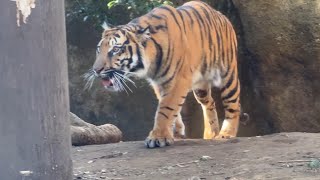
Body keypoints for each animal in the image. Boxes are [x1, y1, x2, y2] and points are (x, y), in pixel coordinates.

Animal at [85, 0, 242, 148]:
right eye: (99, 49)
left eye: (116, 49)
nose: (96, 70)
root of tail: (220, 15)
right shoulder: (158, 83)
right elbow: (170, 107)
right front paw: (176, 133)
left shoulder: (177, 80)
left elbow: (166, 108)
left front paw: (157, 137)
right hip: (201, 87)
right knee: (209, 102)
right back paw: (211, 134)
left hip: (228, 74)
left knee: (233, 104)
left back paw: (226, 134)